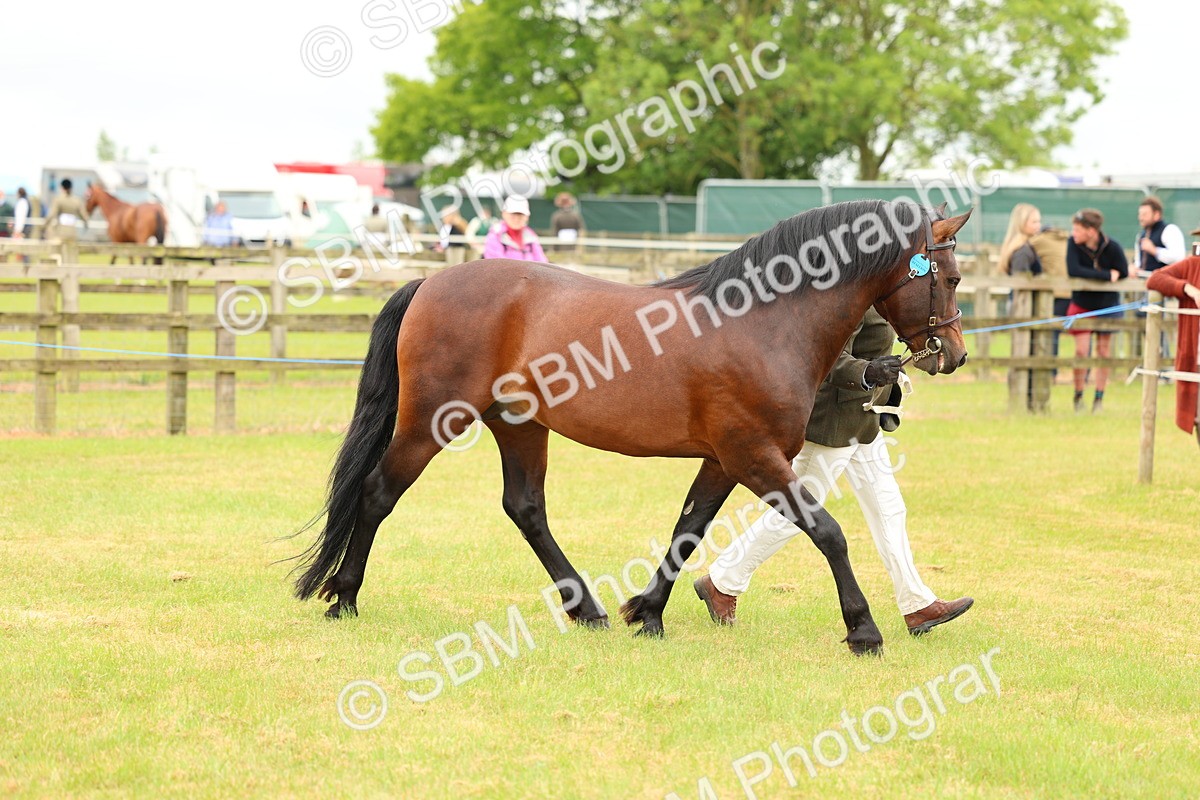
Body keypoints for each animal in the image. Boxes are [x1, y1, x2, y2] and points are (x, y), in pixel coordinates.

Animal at [290, 199, 972, 655]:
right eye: (952, 277)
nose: (955, 355)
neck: (765, 322)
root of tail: (431, 280)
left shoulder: (723, 459)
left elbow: (687, 532)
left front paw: (646, 613)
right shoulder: (753, 455)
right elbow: (828, 531)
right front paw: (863, 629)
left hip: (519, 424)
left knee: (525, 507)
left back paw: (586, 608)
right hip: (432, 420)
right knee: (378, 493)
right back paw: (344, 597)